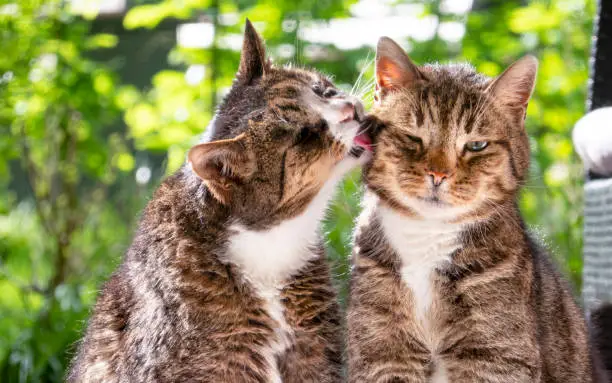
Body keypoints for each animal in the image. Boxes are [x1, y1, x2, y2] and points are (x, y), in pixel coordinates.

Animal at [346, 36, 608, 383]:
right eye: (413, 137)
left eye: (476, 145)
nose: (438, 174)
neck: (427, 240)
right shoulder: (383, 352)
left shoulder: (495, 356)